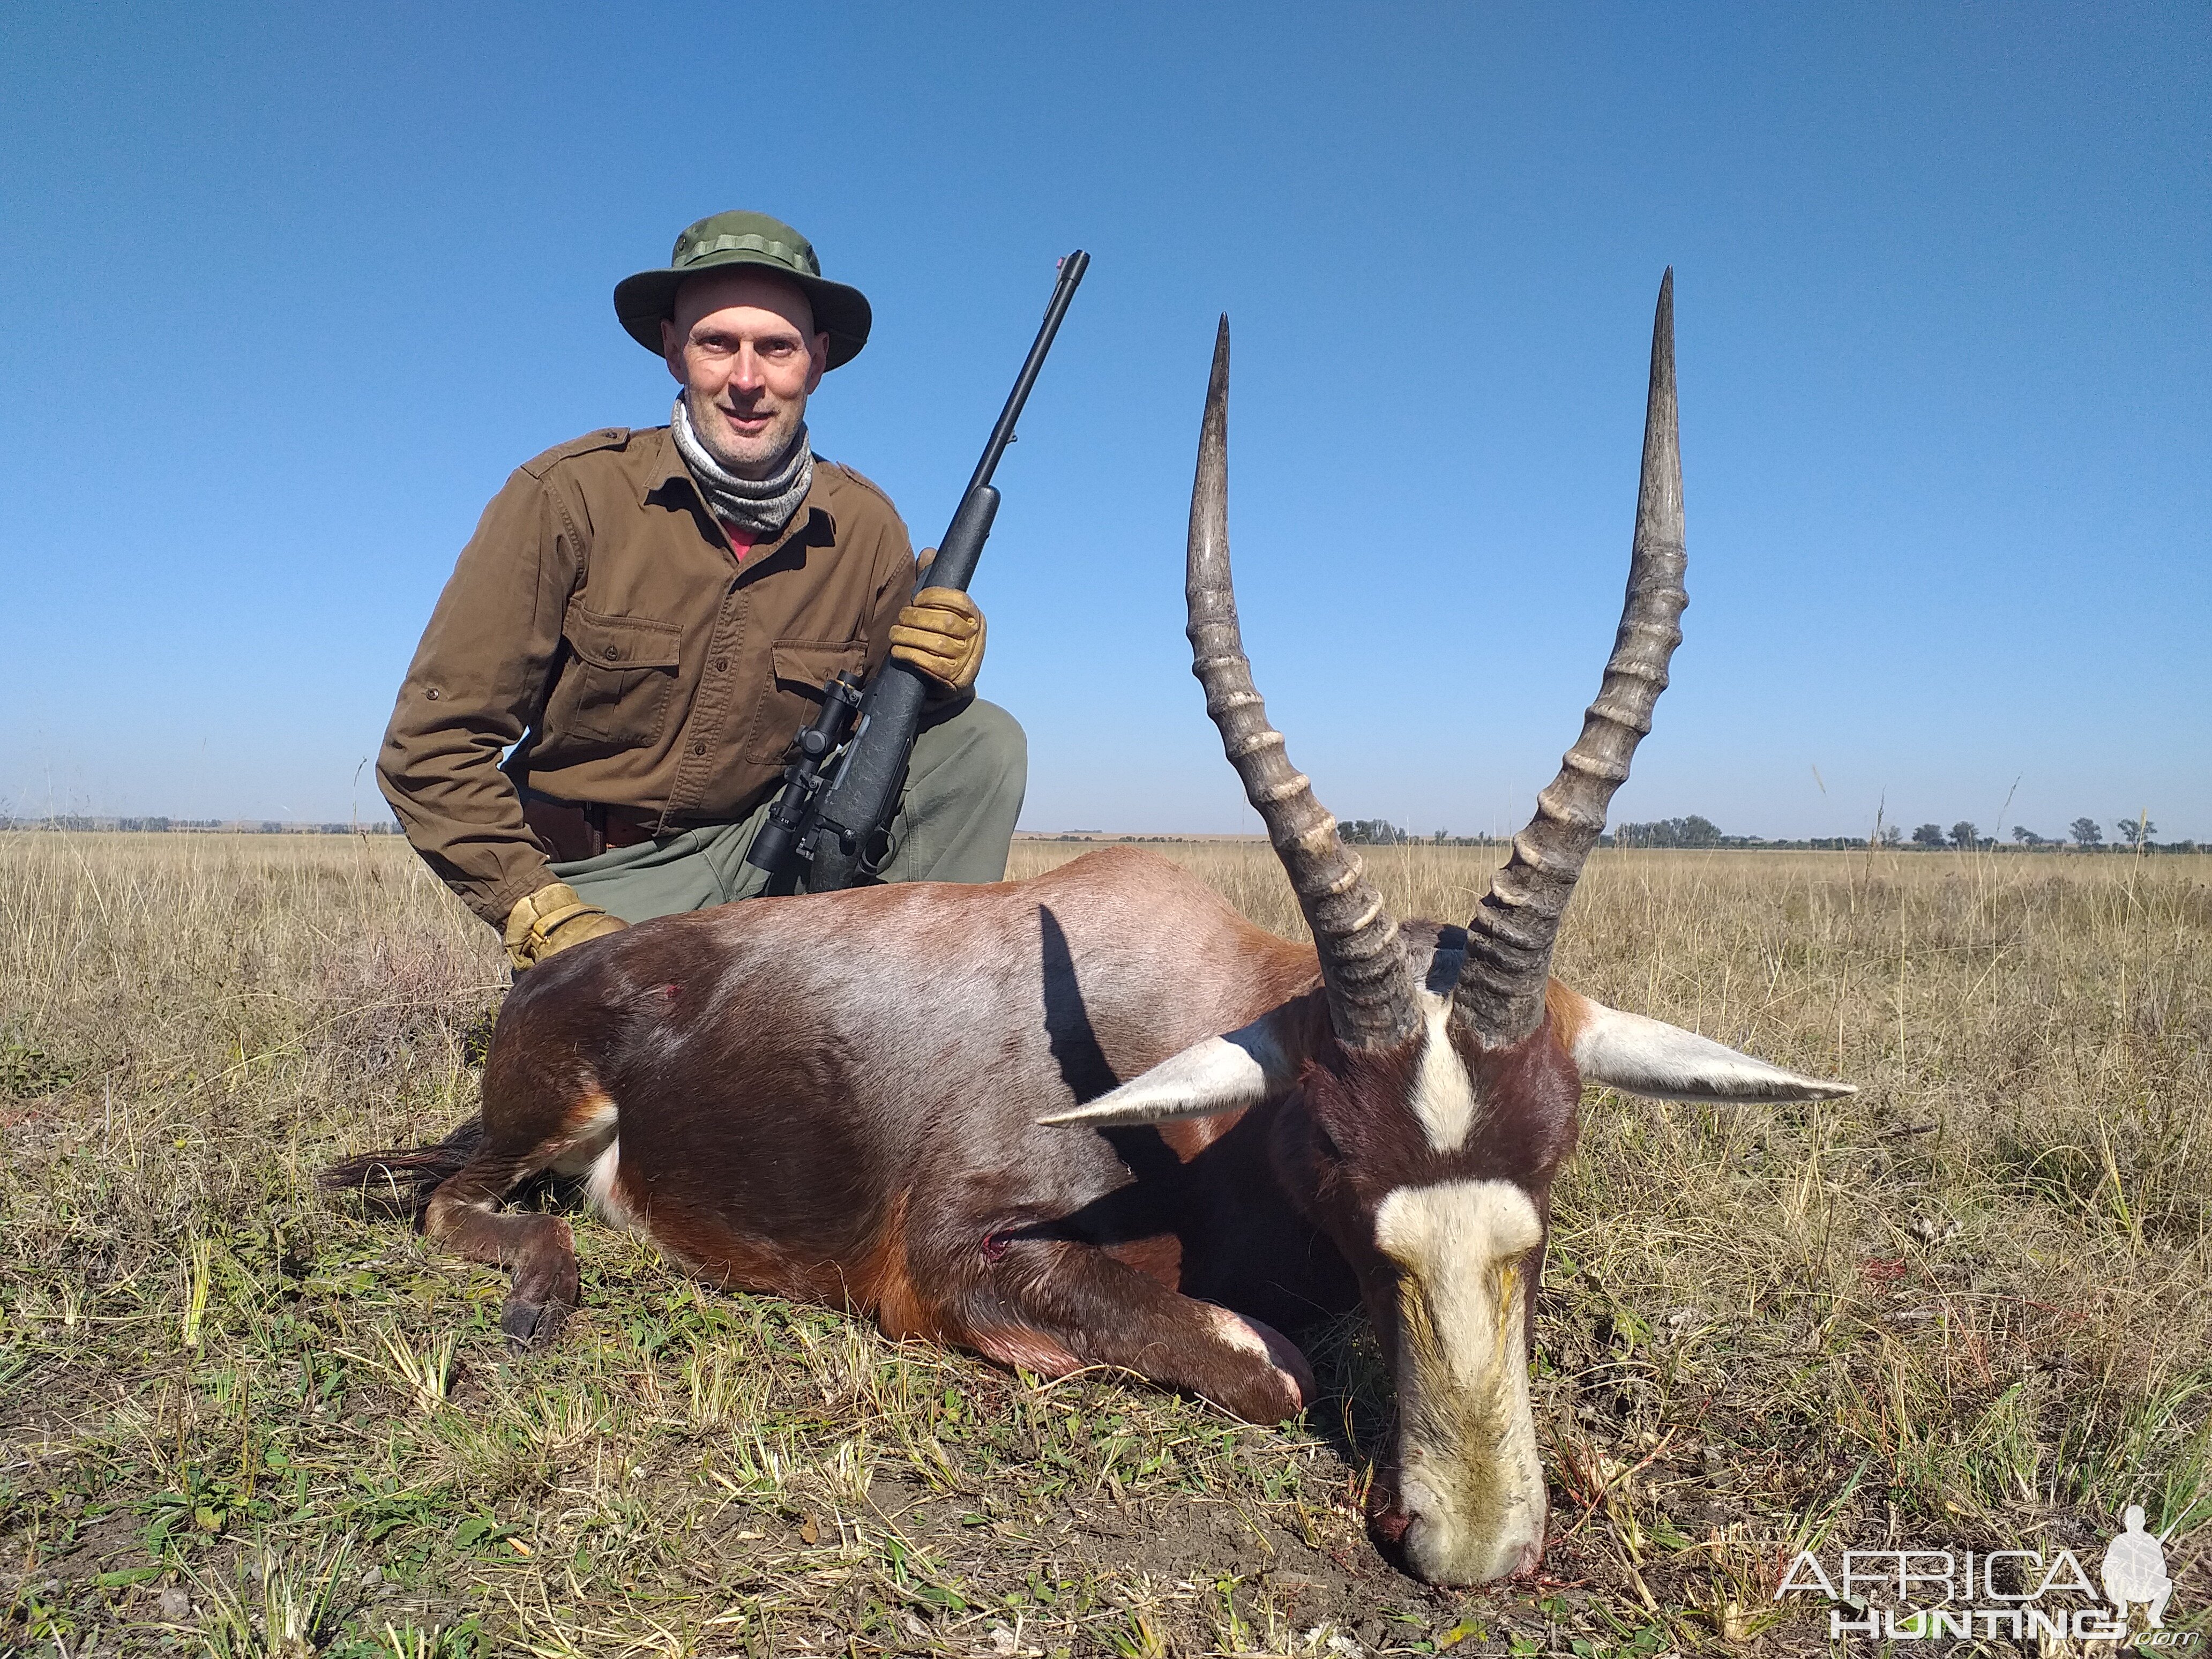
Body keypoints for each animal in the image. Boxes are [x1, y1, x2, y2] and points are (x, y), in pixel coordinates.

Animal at [327, 280, 1849, 1593]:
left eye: (1559, 1149)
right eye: (1333, 1145)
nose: (1471, 1544)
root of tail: (576, 970)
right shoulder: (959, 1257)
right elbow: (1273, 1362)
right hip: (544, 1121)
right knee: (453, 1202)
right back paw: (541, 1288)